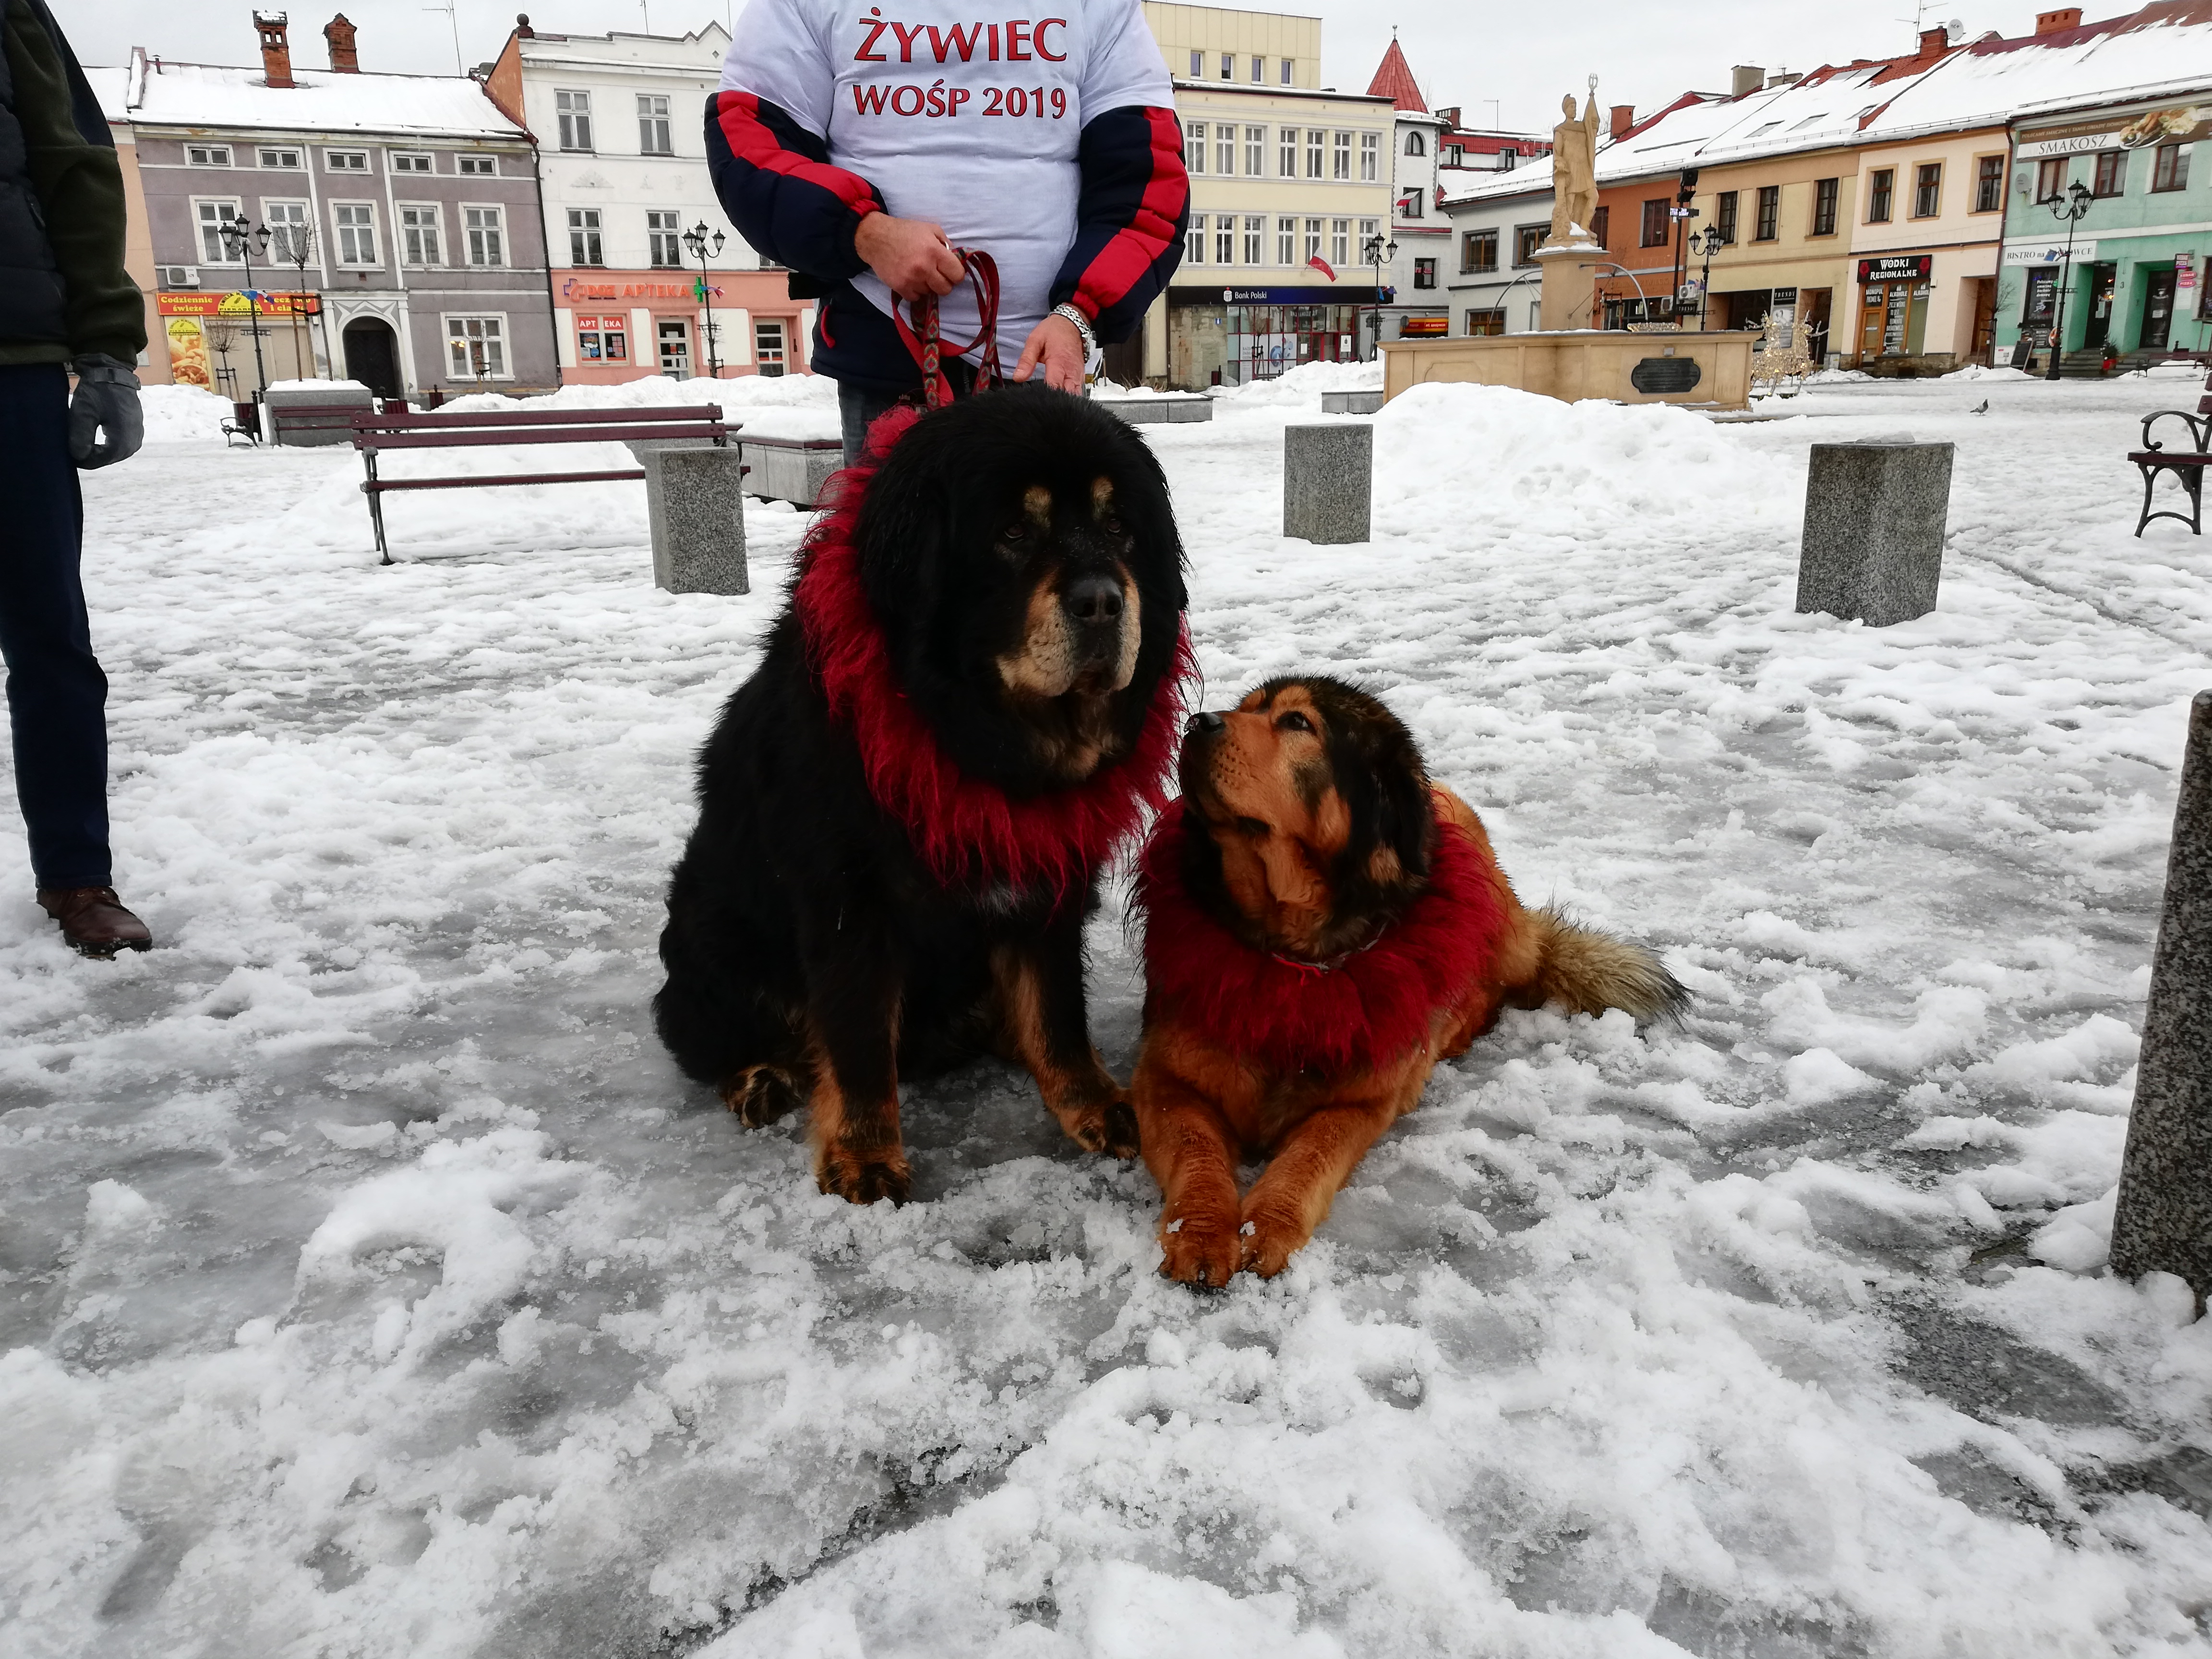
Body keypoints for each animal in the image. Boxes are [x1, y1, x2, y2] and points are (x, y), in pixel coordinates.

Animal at [655, 383, 1191, 1204]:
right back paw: (759, 1078)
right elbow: (858, 1039)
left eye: (1118, 527)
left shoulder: (1049, 880)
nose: (1104, 602)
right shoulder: (850, 897)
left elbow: (1058, 1009)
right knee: (709, 1036)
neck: (971, 741)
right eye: (1012, 532)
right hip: (709, 931)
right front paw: (865, 1154)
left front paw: (1094, 1103)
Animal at [1131, 676, 1686, 1284]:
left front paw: (1269, 1224)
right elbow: (1196, 1147)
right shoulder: (1163, 1080)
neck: (1293, 962)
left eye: (1298, 722)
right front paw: (1204, 1231)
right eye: (1245, 708)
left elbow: (1312, 1153)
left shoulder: (1365, 1101)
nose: (1196, 722)